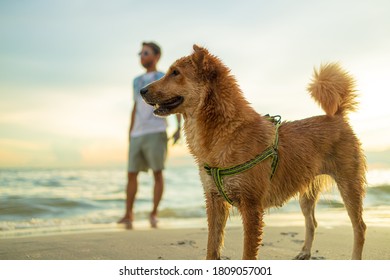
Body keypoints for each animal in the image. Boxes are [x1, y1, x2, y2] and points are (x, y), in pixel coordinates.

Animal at [140, 44, 366, 260]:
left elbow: (248, 253)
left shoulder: (251, 206)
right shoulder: (214, 200)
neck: (227, 130)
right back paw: (305, 252)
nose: (141, 90)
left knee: (359, 227)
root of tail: (338, 116)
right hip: (306, 193)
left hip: (349, 185)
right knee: (312, 223)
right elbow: (212, 247)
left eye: (175, 72)